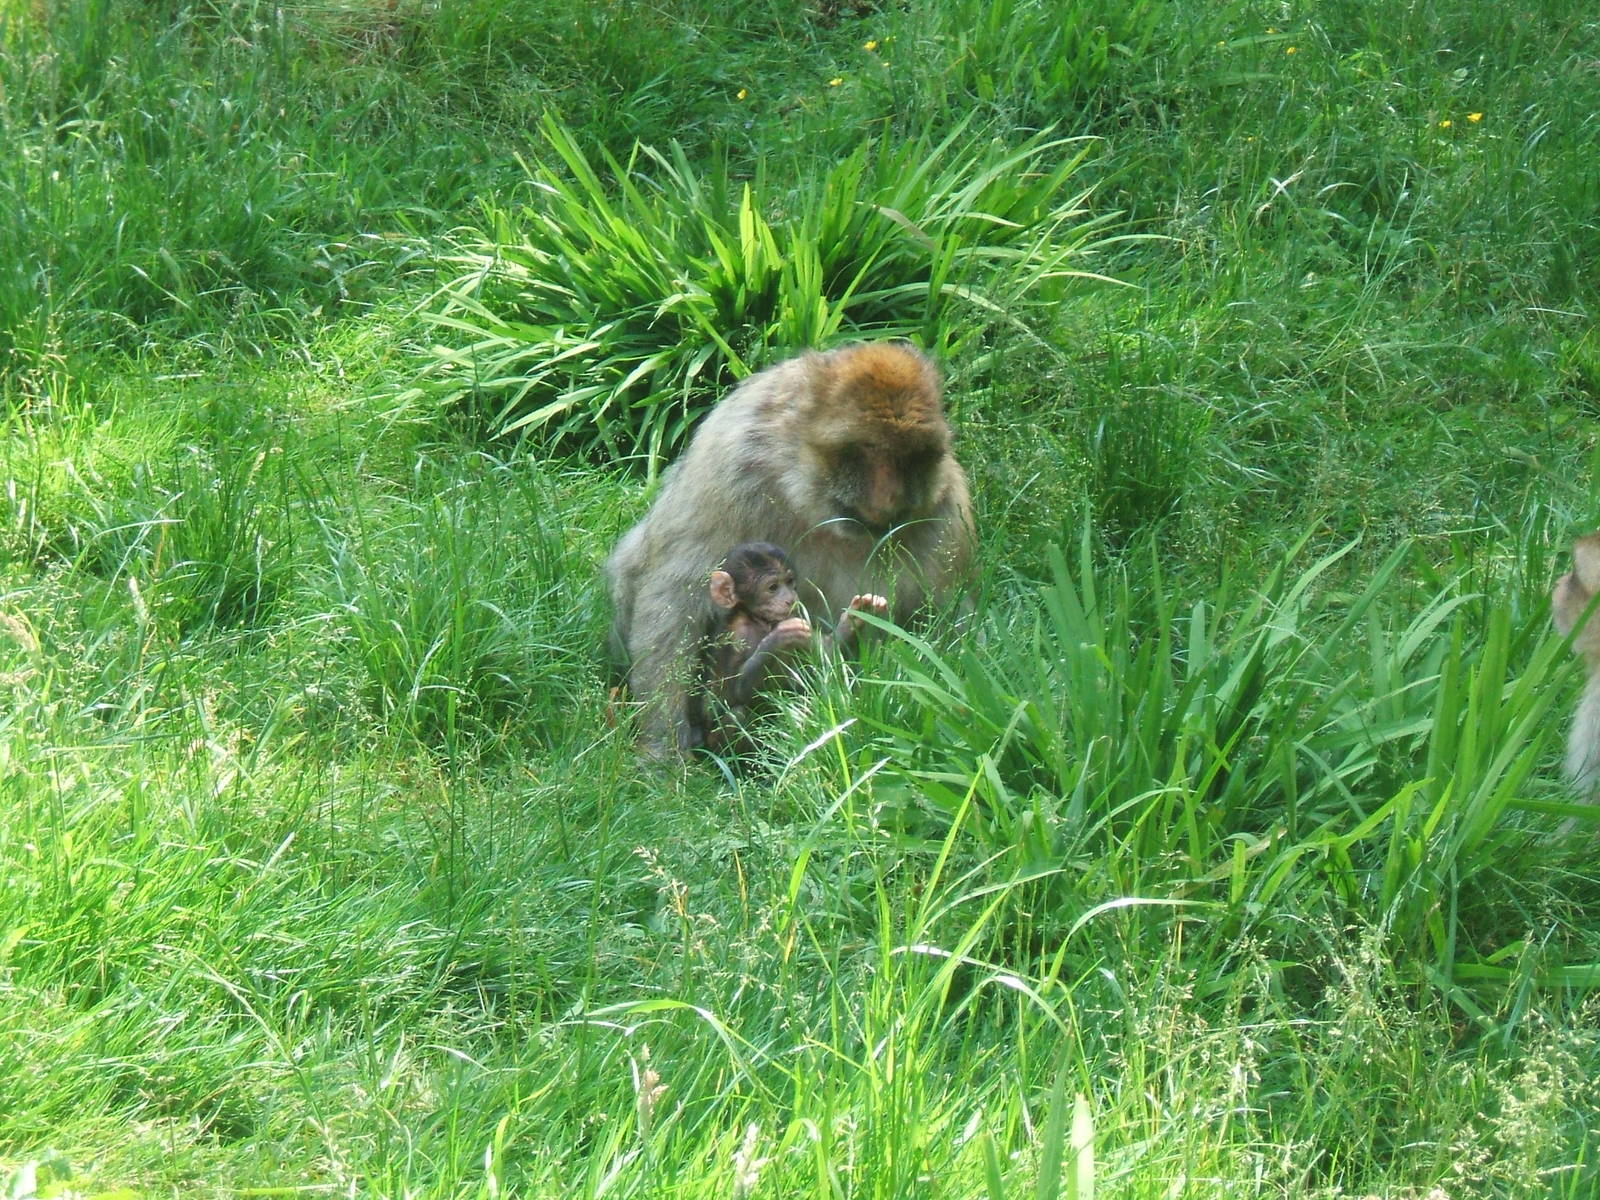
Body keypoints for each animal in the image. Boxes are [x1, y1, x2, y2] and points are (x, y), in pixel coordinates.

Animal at [606, 342, 974, 754]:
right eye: (866, 450)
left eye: (907, 457)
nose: (889, 500)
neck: (803, 488)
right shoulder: (732, 467)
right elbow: (675, 591)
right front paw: (663, 744)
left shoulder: (945, 513)